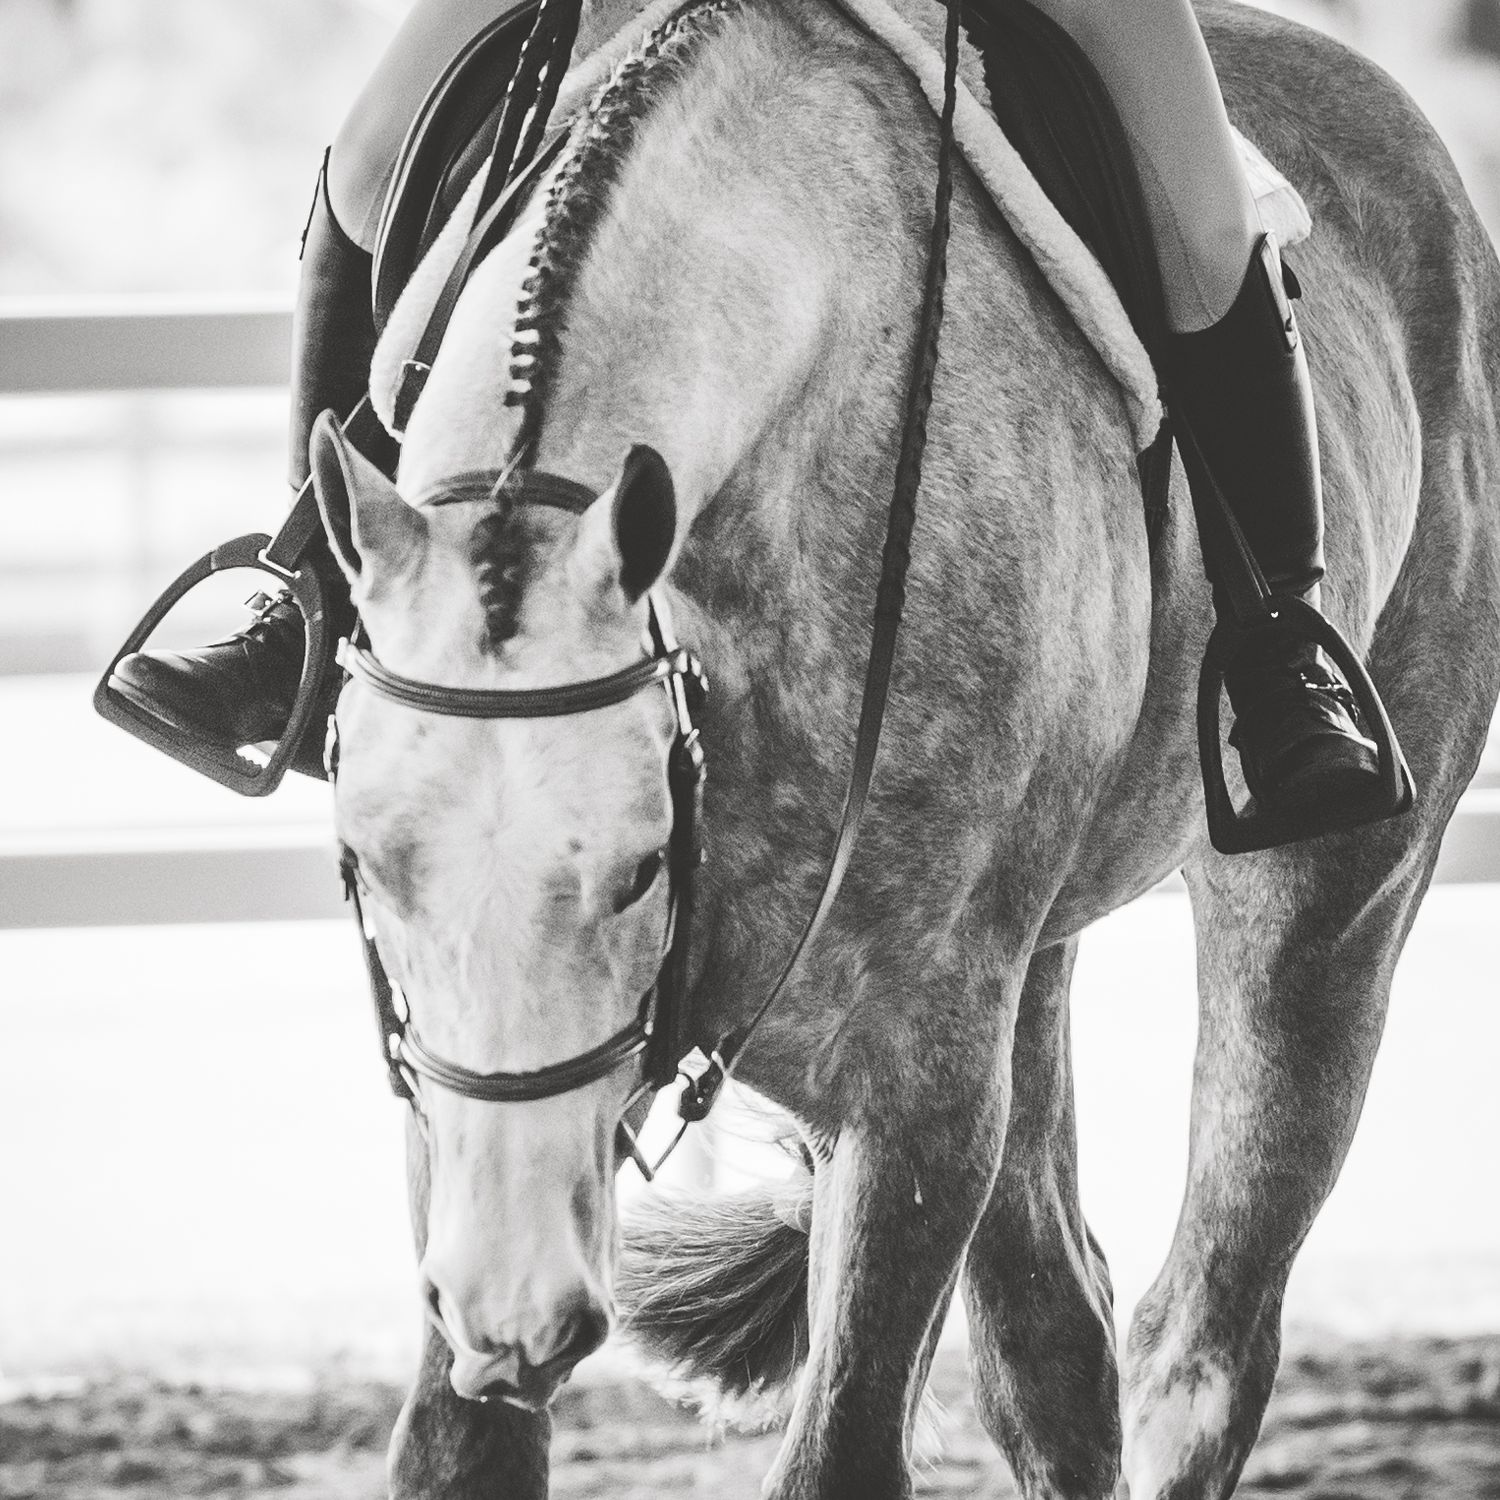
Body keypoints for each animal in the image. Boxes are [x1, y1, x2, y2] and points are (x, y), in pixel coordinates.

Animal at [306, 0, 1500, 1494]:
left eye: (640, 870)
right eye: (368, 871)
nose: (513, 1314)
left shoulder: (915, 1081)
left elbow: (847, 1448)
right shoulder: (471, 1101)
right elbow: (454, 1446)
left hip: (1324, 908)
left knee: (1205, 1336)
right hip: (1028, 969)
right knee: (1058, 1343)